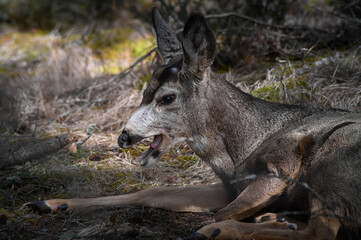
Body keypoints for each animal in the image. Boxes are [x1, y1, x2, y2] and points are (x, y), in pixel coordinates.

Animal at [27, 7, 360, 240]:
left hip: (334, 157)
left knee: (320, 231)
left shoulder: (280, 169)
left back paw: (227, 230)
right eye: (144, 91)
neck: (241, 147)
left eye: (167, 97)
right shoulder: (229, 187)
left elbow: (219, 213)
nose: (124, 137)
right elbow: (151, 193)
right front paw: (52, 203)